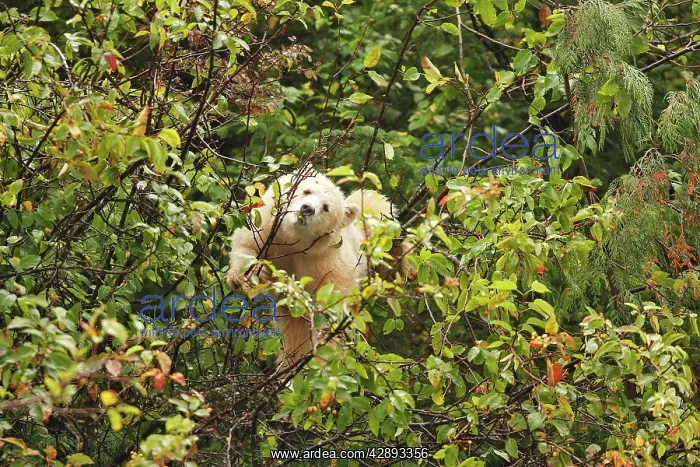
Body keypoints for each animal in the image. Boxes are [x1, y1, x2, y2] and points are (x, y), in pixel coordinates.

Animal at [226, 168, 406, 369]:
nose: (307, 209)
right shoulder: (267, 227)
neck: (293, 240)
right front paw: (242, 277)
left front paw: (321, 356)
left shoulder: (325, 259)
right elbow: (246, 244)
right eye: (307, 191)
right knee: (294, 331)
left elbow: (330, 304)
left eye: (326, 207)